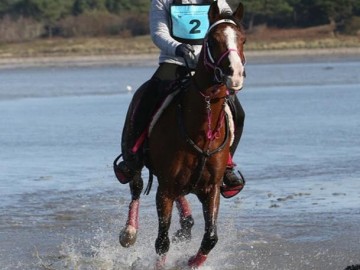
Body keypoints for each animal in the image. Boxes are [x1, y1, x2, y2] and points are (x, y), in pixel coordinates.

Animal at [119, 1, 246, 268]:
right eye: (212, 40)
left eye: (243, 39)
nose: (235, 74)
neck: (200, 128)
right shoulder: (165, 189)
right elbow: (161, 242)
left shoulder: (212, 188)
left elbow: (210, 238)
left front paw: (190, 261)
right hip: (136, 158)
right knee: (136, 184)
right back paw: (129, 232)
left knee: (184, 208)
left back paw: (185, 225)